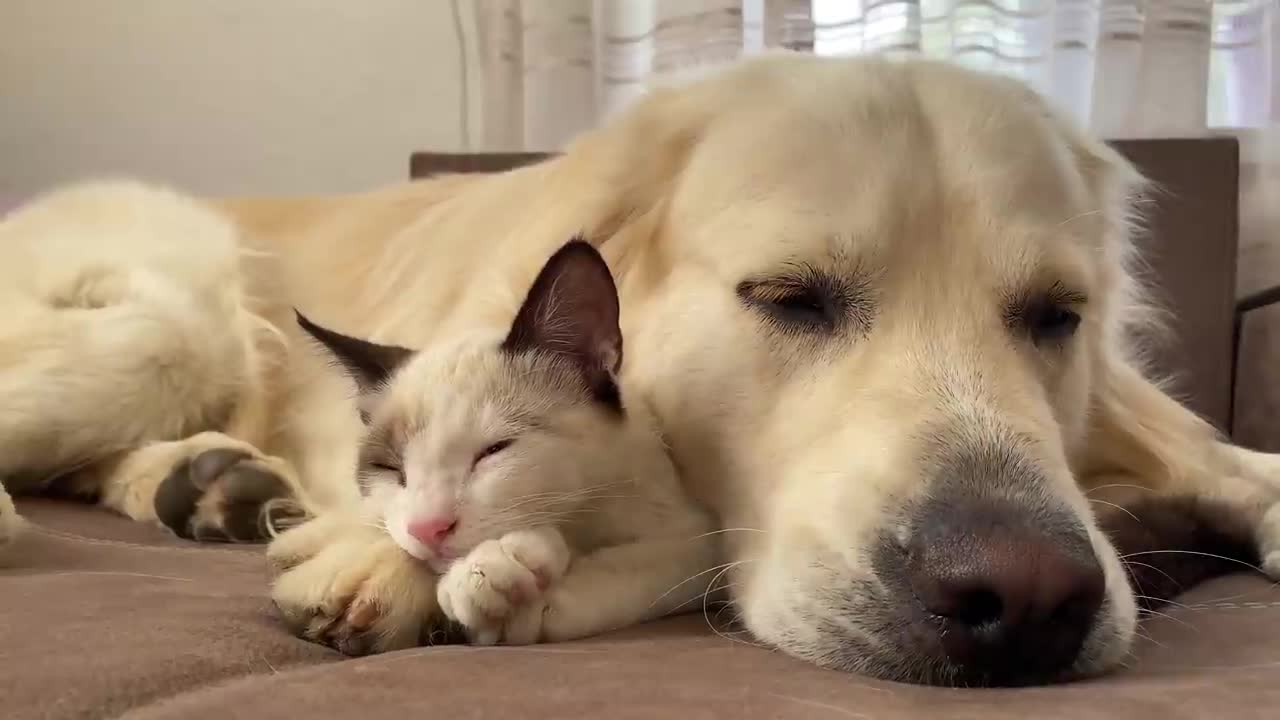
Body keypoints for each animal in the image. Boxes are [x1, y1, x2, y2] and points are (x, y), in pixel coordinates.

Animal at [294, 238, 727, 640]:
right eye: (390, 469)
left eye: (493, 451)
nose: (427, 529)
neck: (583, 521)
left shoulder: (699, 539)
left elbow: (632, 567)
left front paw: (501, 586)